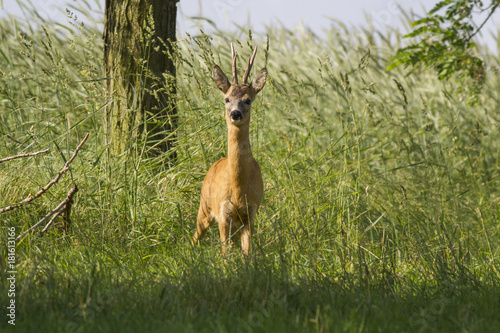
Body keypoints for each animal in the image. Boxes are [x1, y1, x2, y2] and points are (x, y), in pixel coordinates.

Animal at [193, 42, 268, 253]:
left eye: (248, 99)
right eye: (226, 99)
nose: (235, 113)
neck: (237, 189)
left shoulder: (251, 212)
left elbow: (247, 252)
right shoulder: (223, 211)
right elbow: (225, 253)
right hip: (204, 206)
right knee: (195, 236)